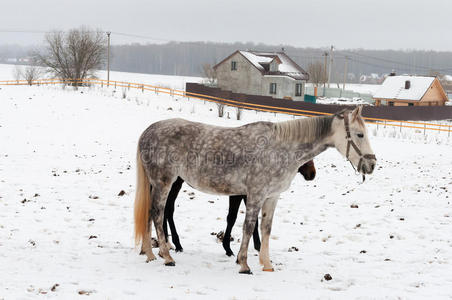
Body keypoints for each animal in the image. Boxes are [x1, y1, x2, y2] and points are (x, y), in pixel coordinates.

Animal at [134, 107, 374, 274]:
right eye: (360, 134)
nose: (371, 165)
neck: (280, 149)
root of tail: (148, 131)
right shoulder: (255, 195)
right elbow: (248, 228)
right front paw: (244, 264)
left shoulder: (271, 197)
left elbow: (266, 229)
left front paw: (267, 265)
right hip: (164, 183)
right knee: (157, 214)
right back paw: (167, 256)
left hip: (157, 184)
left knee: (149, 215)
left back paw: (150, 254)